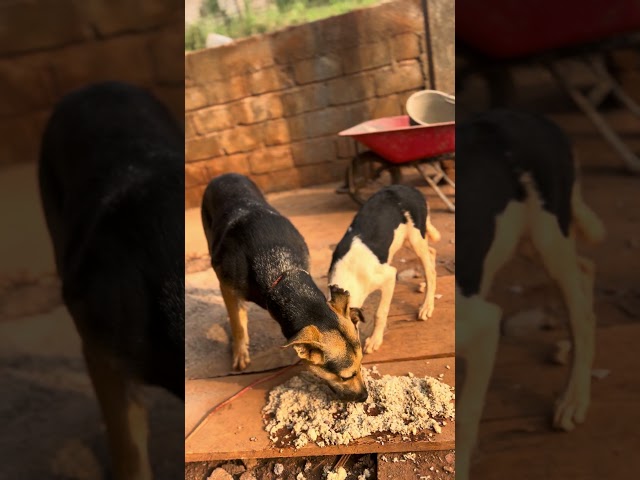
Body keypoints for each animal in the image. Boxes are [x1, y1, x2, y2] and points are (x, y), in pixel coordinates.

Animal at [202, 174, 368, 404]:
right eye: (346, 376)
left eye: (362, 365)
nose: (365, 396)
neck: (282, 274)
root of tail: (225, 175)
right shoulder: (227, 288)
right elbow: (237, 324)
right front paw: (240, 351)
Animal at [330, 186, 440, 354]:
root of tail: (411, 188)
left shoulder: (389, 277)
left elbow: (380, 313)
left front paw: (375, 340)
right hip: (403, 240)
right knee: (432, 253)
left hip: (415, 238)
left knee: (430, 270)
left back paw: (427, 306)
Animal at [456, 109, 604, 480]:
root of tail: (534, 117)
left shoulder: (483, 328)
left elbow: (465, 418)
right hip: (522, 240)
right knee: (586, 269)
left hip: (548, 238)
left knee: (581, 314)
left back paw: (574, 398)